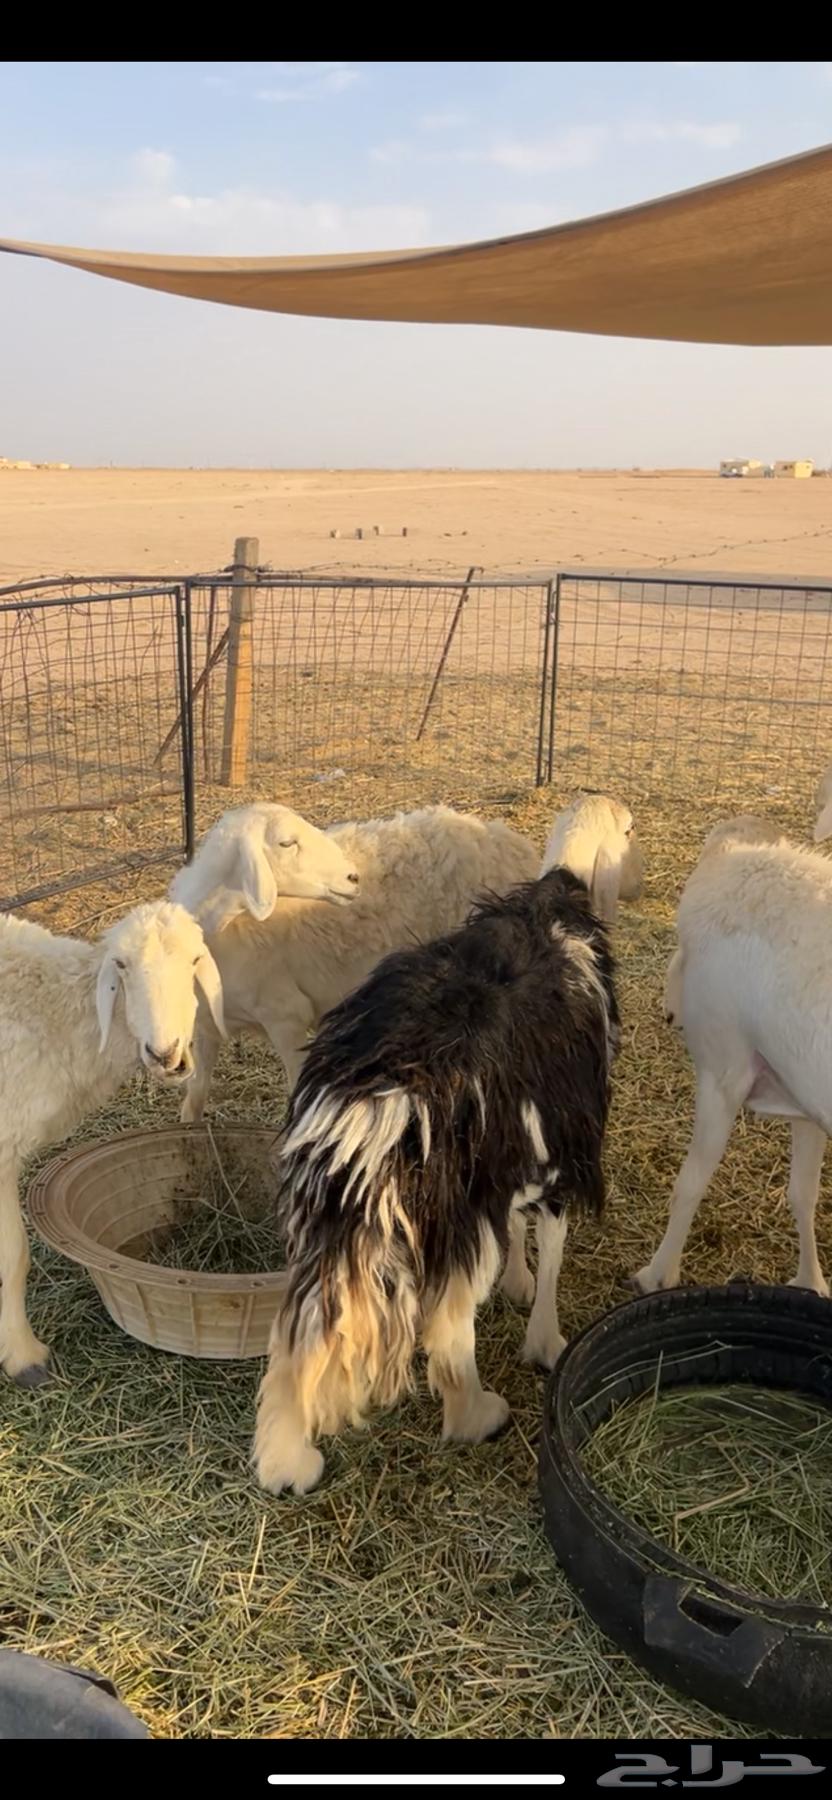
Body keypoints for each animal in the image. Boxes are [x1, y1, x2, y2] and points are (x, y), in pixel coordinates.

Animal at [169, 800, 538, 1116]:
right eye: (286, 843)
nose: (353, 877)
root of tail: (513, 843)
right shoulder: (205, 1026)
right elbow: (194, 1099)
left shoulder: (286, 1017)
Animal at [253, 866, 618, 1496]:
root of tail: (388, 1093)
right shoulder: (556, 1164)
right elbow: (550, 1250)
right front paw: (546, 1342)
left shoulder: (510, 1172)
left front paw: (519, 1287)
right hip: (455, 1221)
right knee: (449, 1335)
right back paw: (478, 1417)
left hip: (327, 1214)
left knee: (302, 1329)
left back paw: (286, 1463)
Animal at [632, 832, 832, 1300]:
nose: (670, 1014)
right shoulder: (802, 1095)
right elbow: (803, 1195)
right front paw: (811, 1282)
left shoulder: (723, 1070)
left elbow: (689, 1184)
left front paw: (658, 1275)